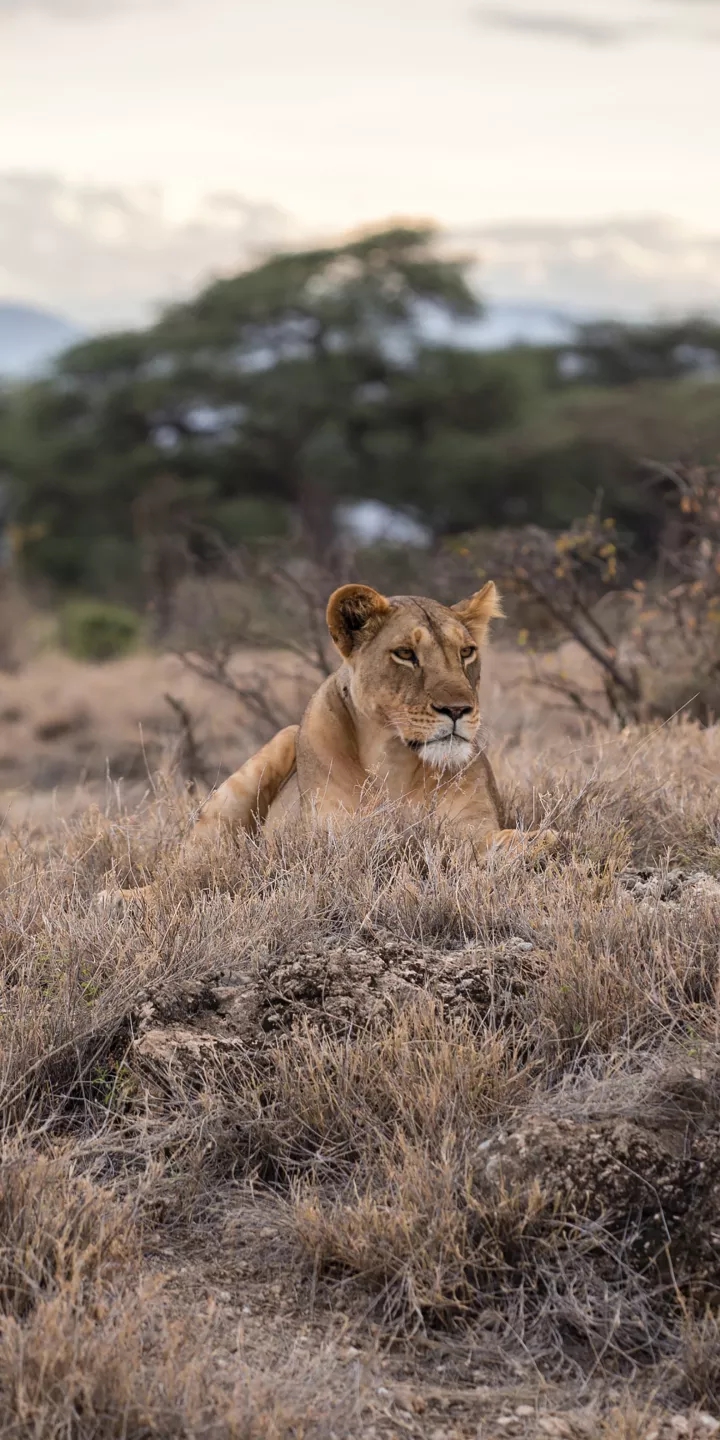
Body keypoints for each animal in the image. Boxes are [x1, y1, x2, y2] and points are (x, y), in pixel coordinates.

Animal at [100, 580, 552, 905]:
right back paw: (119, 898)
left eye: (467, 652)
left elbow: (490, 843)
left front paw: (531, 845)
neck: (396, 759)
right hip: (258, 766)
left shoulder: (470, 827)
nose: (458, 709)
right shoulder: (336, 846)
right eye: (405, 654)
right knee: (189, 874)